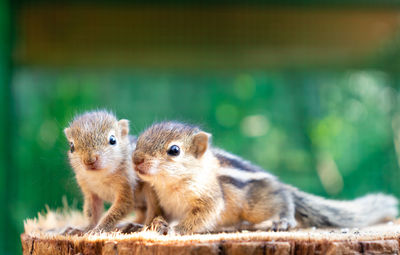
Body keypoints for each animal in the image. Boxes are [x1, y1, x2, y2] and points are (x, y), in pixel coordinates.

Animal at [133, 121, 398, 235]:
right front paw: (150, 225)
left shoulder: (209, 197)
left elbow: (201, 216)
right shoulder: (159, 200)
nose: (136, 159)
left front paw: (175, 229)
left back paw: (283, 221)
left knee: (285, 201)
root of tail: (279, 183)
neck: (169, 184)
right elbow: (156, 214)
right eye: (139, 140)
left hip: (260, 204)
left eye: (174, 150)